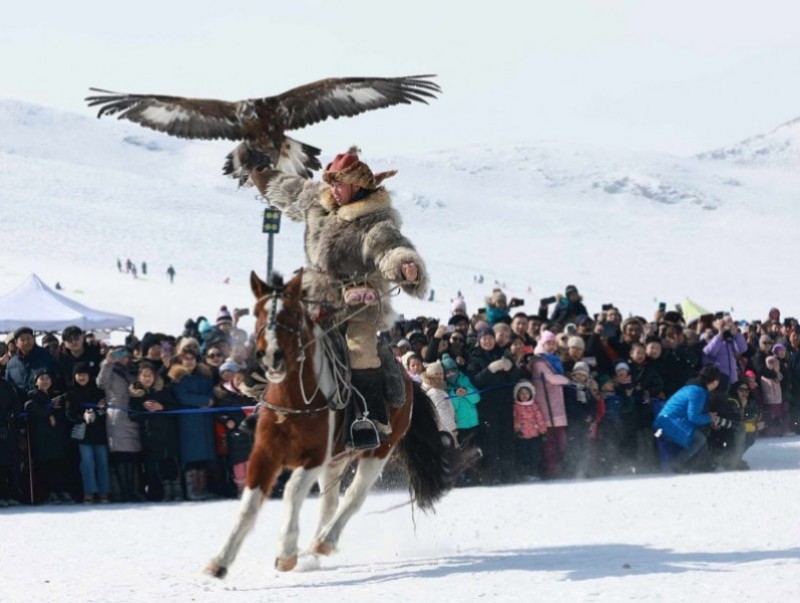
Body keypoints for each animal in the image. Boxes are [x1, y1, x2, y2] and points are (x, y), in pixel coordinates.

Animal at [205, 270, 476, 580]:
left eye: (293, 314)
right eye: (258, 312)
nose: (270, 355)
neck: (295, 400)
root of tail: (409, 381)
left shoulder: (313, 457)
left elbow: (292, 491)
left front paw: (286, 553)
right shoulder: (265, 454)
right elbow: (249, 505)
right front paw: (220, 561)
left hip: (377, 452)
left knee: (354, 498)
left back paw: (324, 542)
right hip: (338, 458)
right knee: (329, 503)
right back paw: (312, 552)